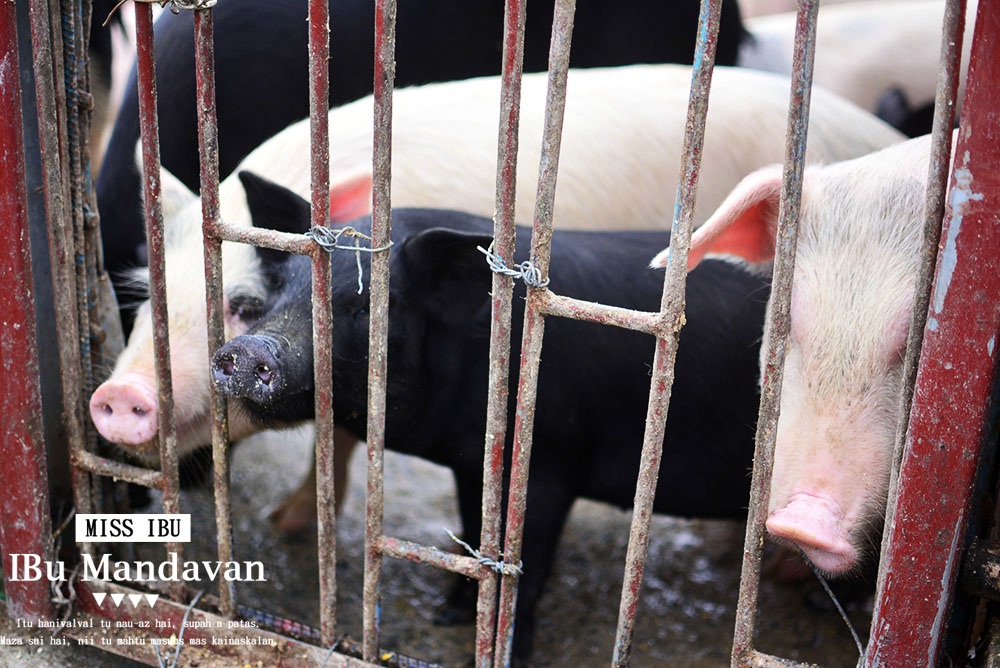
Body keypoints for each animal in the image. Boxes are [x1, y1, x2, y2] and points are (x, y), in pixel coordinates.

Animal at [209, 172, 772, 664]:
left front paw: (496, 648)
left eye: (366, 307)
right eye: (278, 288)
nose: (249, 348)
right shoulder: (471, 462)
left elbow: (527, 562)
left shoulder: (551, 460)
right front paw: (450, 612)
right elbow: (474, 527)